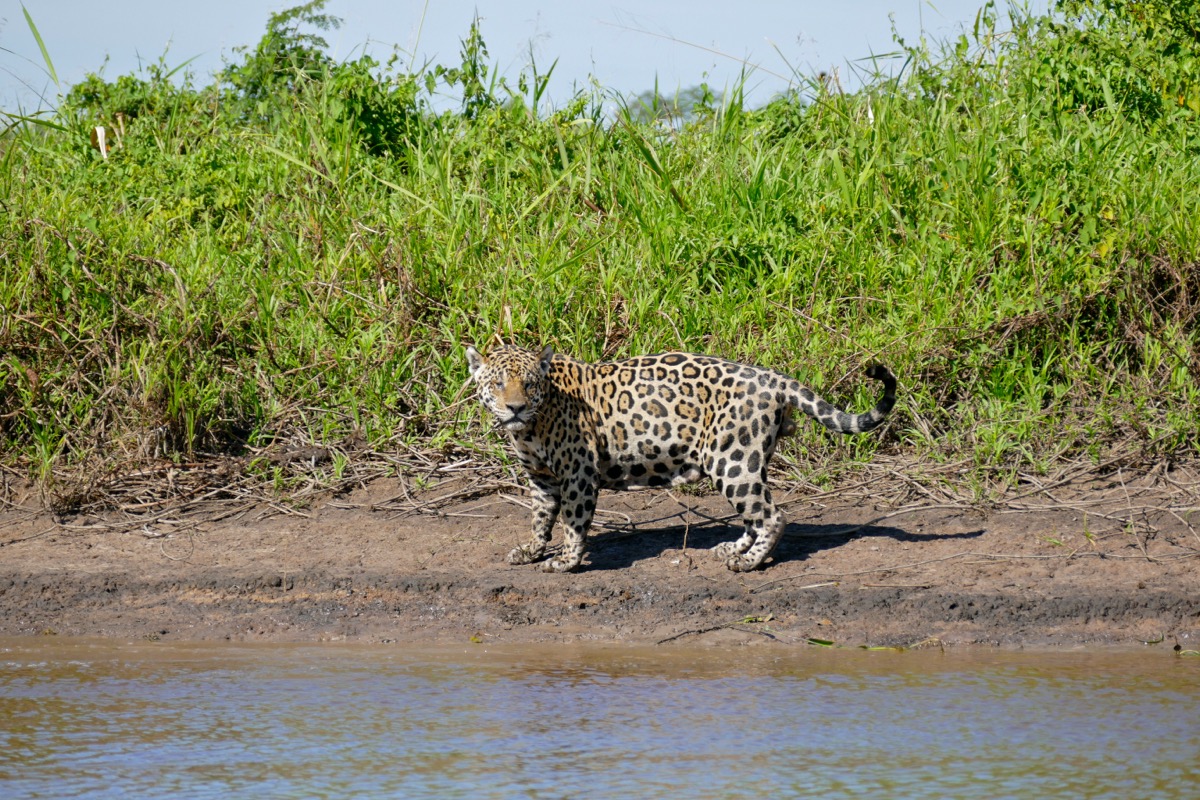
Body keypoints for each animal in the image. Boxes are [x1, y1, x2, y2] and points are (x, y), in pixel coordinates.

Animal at [466, 343, 896, 573]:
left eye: (530, 385)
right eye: (497, 383)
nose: (516, 407)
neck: (532, 425)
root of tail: (772, 377)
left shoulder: (578, 473)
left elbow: (573, 522)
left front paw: (567, 561)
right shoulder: (542, 478)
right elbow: (540, 518)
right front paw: (531, 550)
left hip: (733, 459)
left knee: (773, 516)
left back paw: (749, 562)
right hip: (744, 460)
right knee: (755, 513)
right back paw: (734, 548)